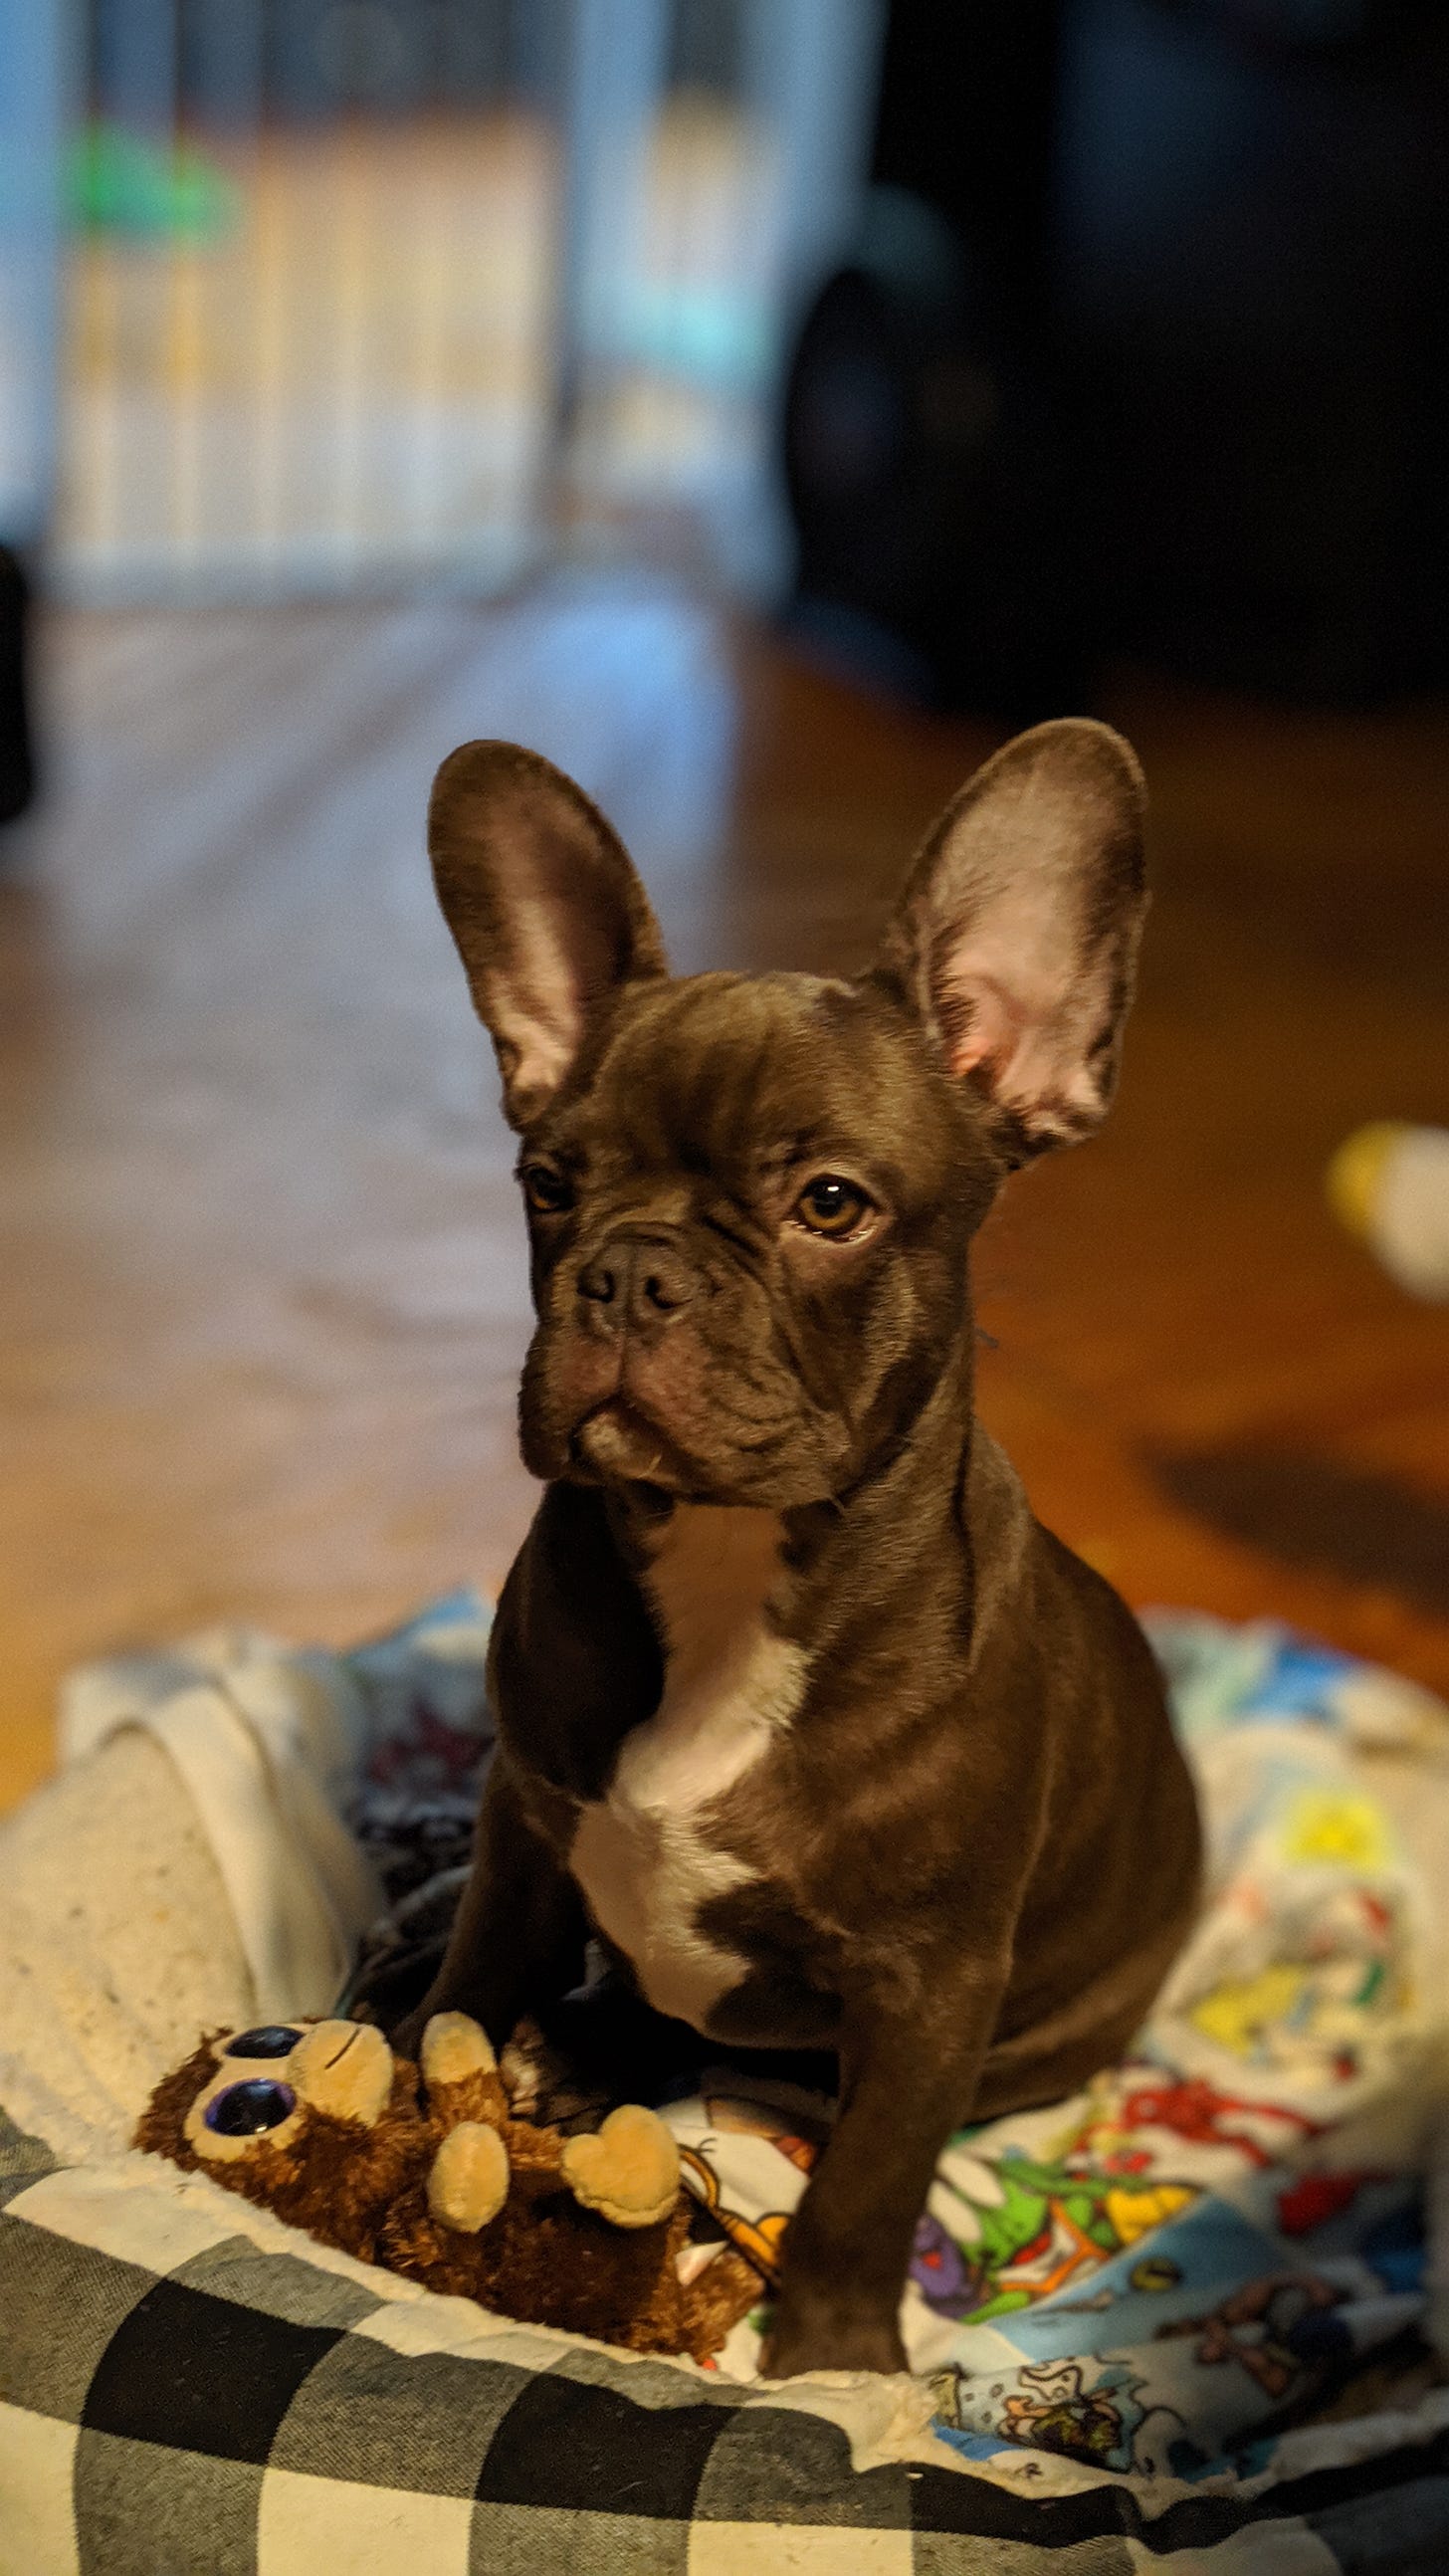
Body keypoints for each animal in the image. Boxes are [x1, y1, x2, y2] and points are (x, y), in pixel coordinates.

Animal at [396, 718, 1202, 2378]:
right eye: (549, 1187)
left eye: (831, 1205)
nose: (630, 1272)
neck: (726, 1565)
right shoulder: (524, 1824)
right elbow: (472, 1983)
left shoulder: (927, 1989)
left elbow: (870, 2180)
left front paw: (829, 2368)